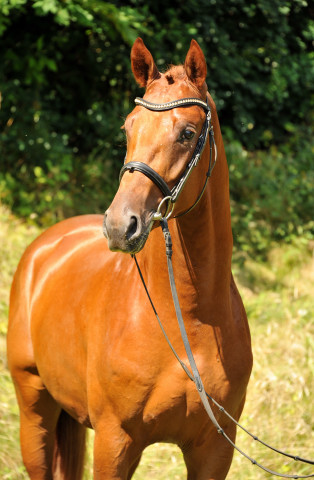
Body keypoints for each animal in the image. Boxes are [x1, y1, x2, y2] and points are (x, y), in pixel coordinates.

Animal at [7, 39, 253, 478]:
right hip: (34, 410)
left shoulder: (214, 450)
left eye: (187, 133)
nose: (120, 225)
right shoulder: (115, 440)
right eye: (128, 127)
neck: (187, 323)